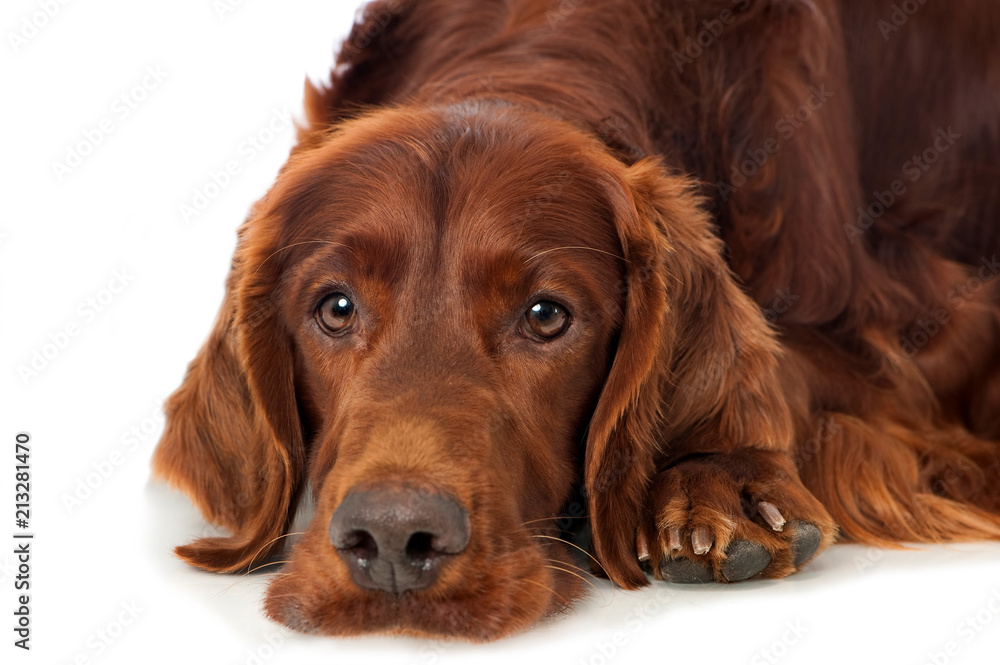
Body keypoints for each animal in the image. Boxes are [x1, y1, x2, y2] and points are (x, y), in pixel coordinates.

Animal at [152, 0, 1000, 640]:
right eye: (334, 307)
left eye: (545, 316)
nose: (393, 540)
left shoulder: (932, 319)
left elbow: (796, 365)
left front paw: (717, 478)